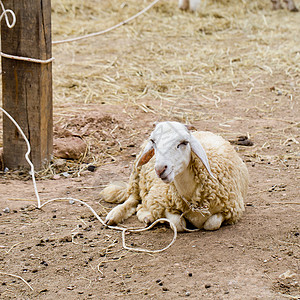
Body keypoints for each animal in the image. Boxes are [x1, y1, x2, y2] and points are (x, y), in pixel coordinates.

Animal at [101, 122, 248, 232]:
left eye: (183, 142)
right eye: (153, 141)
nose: (160, 169)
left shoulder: (233, 209)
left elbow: (211, 224)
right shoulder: (159, 202)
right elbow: (178, 224)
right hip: (136, 175)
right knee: (133, 199)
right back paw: (119, 215)